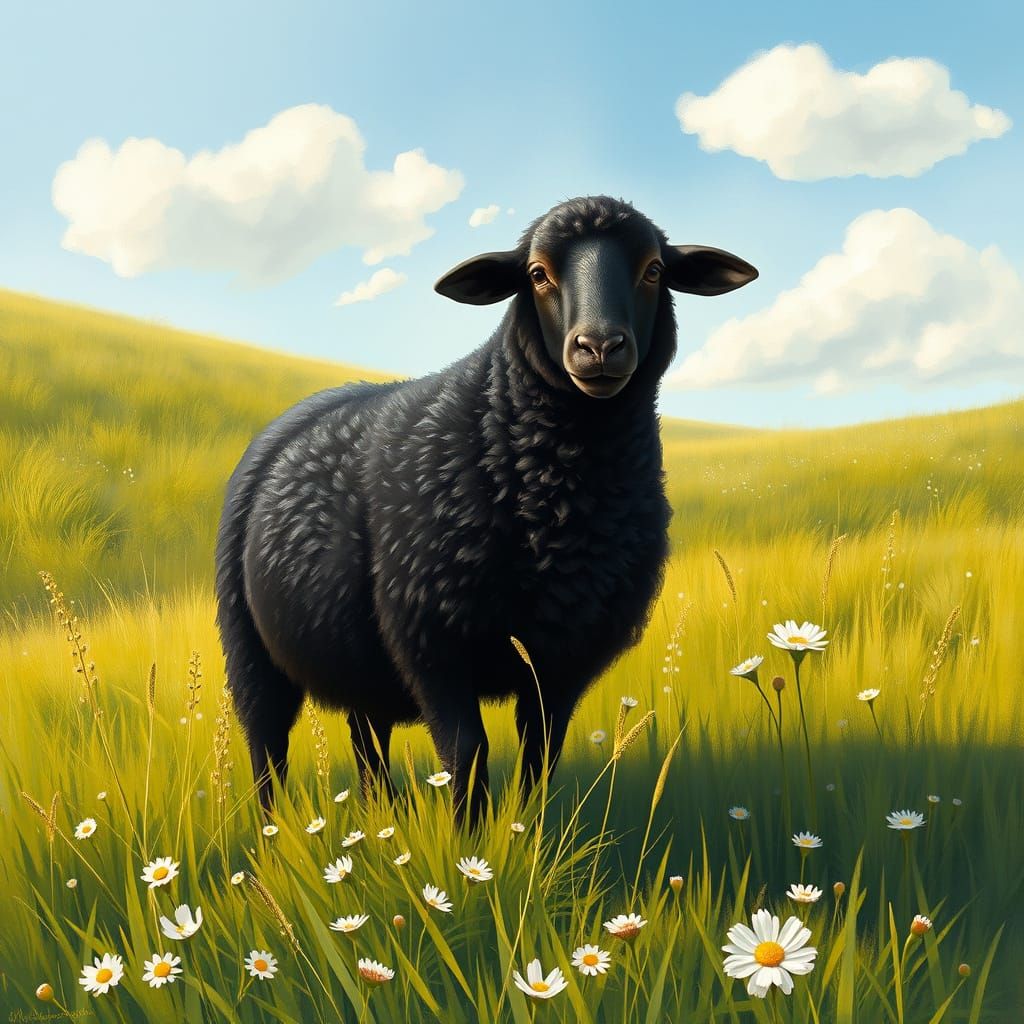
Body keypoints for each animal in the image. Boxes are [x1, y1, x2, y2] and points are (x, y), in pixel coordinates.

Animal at [215, 195, 757, 828]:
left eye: (653, 270)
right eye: (538, 274)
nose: (599, 347)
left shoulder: (563, 656)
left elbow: (540, 753)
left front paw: (528, 834)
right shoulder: (432, 639)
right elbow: (467, 752)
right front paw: (470, 841)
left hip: (358, 656)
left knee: (366, 737)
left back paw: (382, 818)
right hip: (251, 650)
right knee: (267, 745)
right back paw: (273, 832)